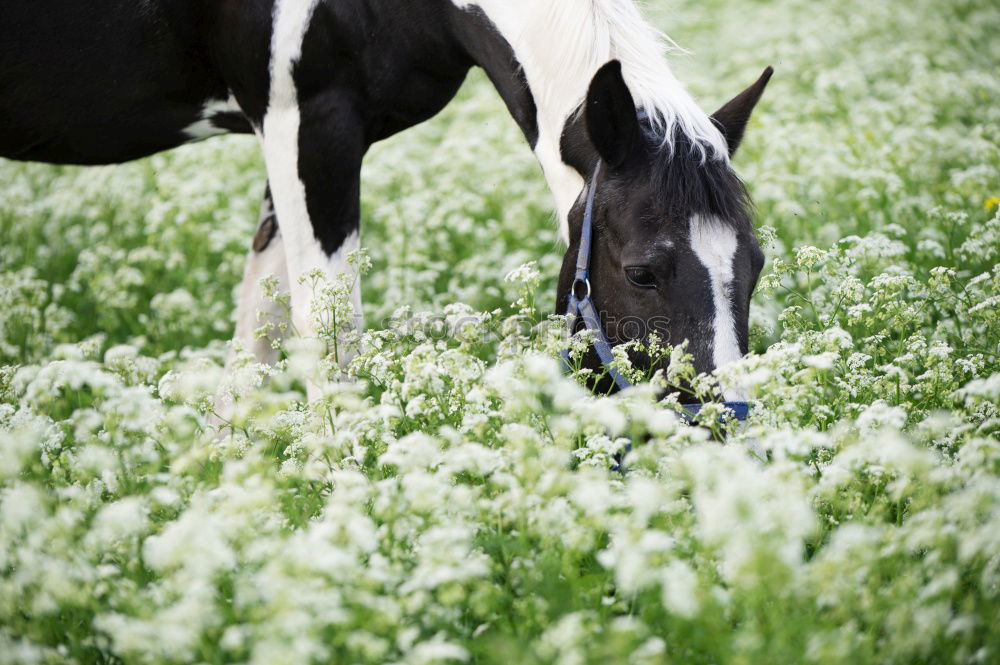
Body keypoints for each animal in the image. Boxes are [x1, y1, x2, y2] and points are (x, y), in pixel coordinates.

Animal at [0, 0, 768, 396]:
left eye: (756, 264)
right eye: (642, 271)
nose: (720, 434)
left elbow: (260, 331)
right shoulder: (309, 123)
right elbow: (327, 334)